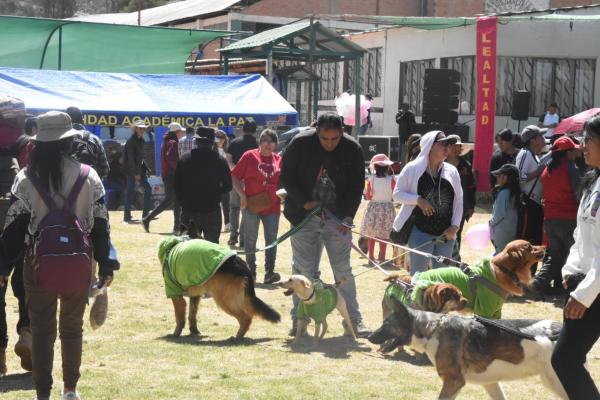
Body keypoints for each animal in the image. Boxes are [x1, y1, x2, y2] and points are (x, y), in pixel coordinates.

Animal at [368, 298, 568, 398]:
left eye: (386, 324)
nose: (370, 337)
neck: (433, 330)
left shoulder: (453, 381)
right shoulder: (490, 383)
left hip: (556, 383)